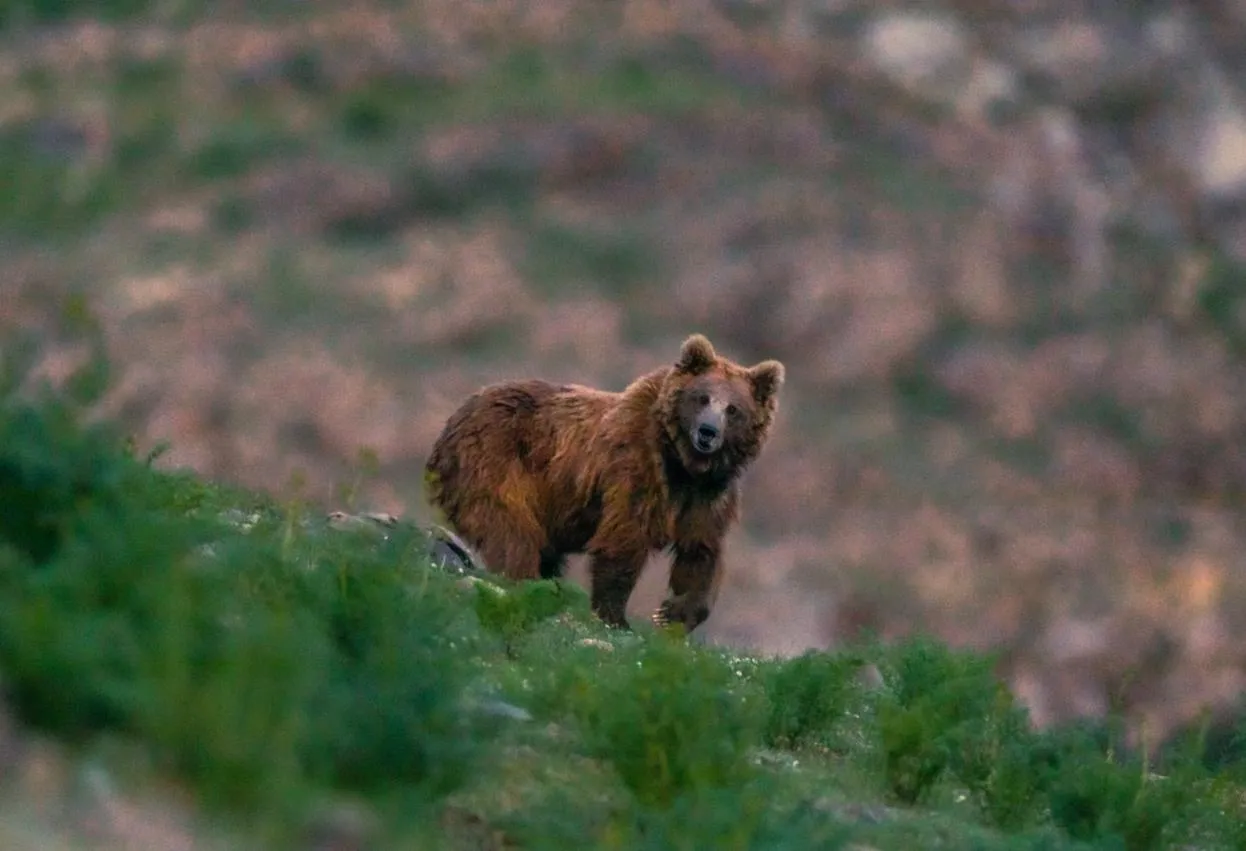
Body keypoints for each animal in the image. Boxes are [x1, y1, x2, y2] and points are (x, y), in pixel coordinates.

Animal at [423, 333, 785, 632]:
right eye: (702, 398)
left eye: (733, 409)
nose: (708, 432)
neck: (682, 465)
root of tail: (452, 422)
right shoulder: (635, 470)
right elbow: (623, 540)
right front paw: (616, 617)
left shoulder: (707, 496)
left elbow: (700, 553)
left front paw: (673, 614)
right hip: (497, 462)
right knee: (512, 532)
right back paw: (525, 580)